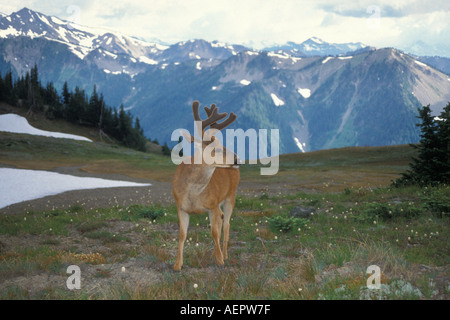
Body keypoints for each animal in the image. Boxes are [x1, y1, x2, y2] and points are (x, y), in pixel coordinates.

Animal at [172, 100, 241, 270]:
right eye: (215, 148)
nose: (238, 159)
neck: (193, 193)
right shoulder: (180, 207)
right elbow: (182, 234)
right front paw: (177, 265)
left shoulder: (212, 204)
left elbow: (214, 232)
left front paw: (220, 260)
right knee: (221, 219)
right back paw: (214, 253)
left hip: (231, 196)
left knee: (226, 223)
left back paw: (224, 254)